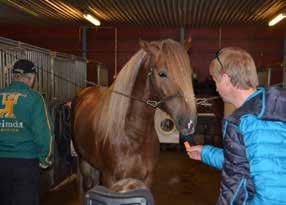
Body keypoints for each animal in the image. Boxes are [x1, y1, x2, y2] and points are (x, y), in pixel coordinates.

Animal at [72, 38, 197, 191]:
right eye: (162, 74)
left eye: (190, 75)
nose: (189, 123)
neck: (133, 137)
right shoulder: (110, 179)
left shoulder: (146, 179)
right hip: (84, 162)